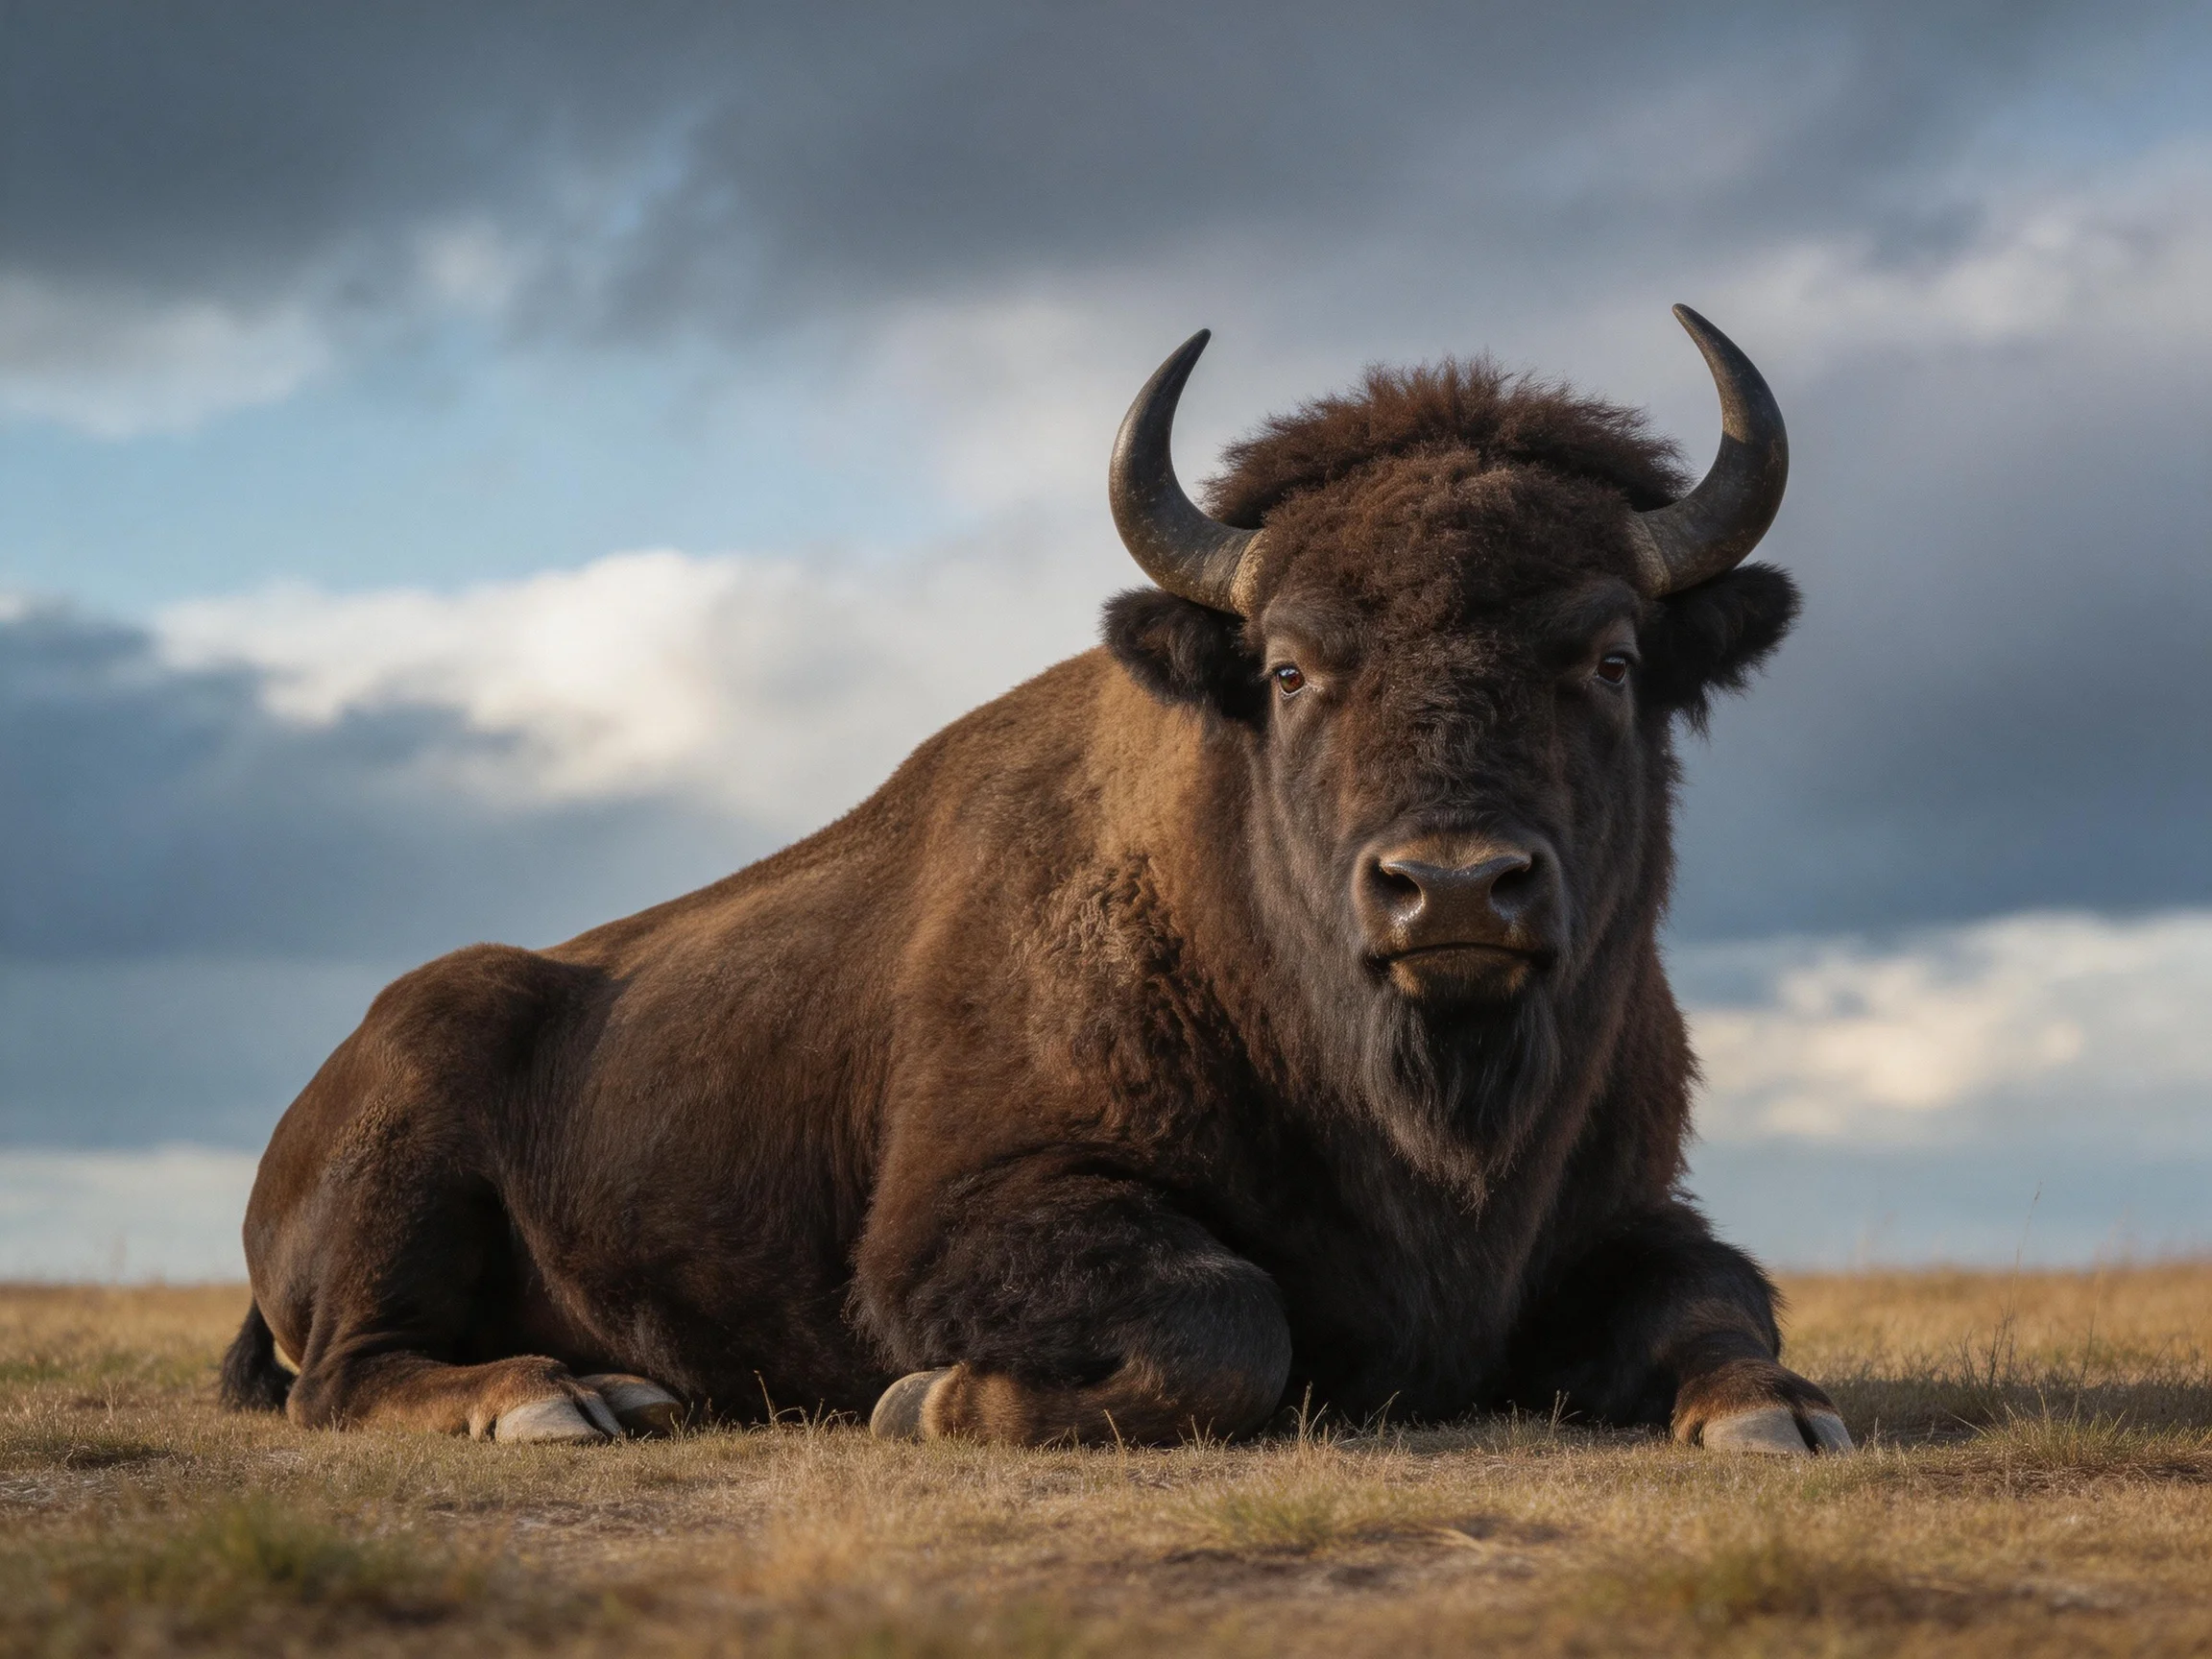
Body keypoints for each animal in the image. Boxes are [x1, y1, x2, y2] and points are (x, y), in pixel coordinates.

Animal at [222, 306, 1850, 1457]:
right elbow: (1224, 1321)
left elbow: (1722, 1297)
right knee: (346, 1372)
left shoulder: (1628, 1209)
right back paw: (566, 1400)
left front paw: (1782, 1413)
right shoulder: (959, 1222)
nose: (1452, 891)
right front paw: (930, 1404)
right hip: (403, 1163)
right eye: (1291, 667)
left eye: (1614, 657)